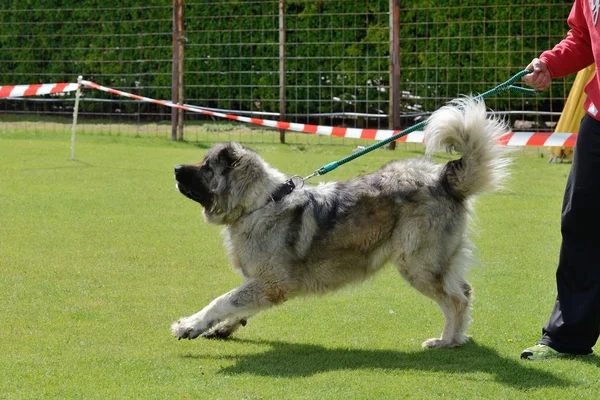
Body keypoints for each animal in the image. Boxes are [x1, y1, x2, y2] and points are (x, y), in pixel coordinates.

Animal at [171, 98, 508, 348]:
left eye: (206, 167)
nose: (175, 168)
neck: (259, 203)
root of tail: (442, 179)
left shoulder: (272, 281)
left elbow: (222, 300)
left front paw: (189, 324)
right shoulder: (262, 283)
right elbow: (238, 305)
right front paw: (221, 328)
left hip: (419, 265)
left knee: (456, 299)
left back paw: (446, 341)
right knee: (464, 292)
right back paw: (456, 338)